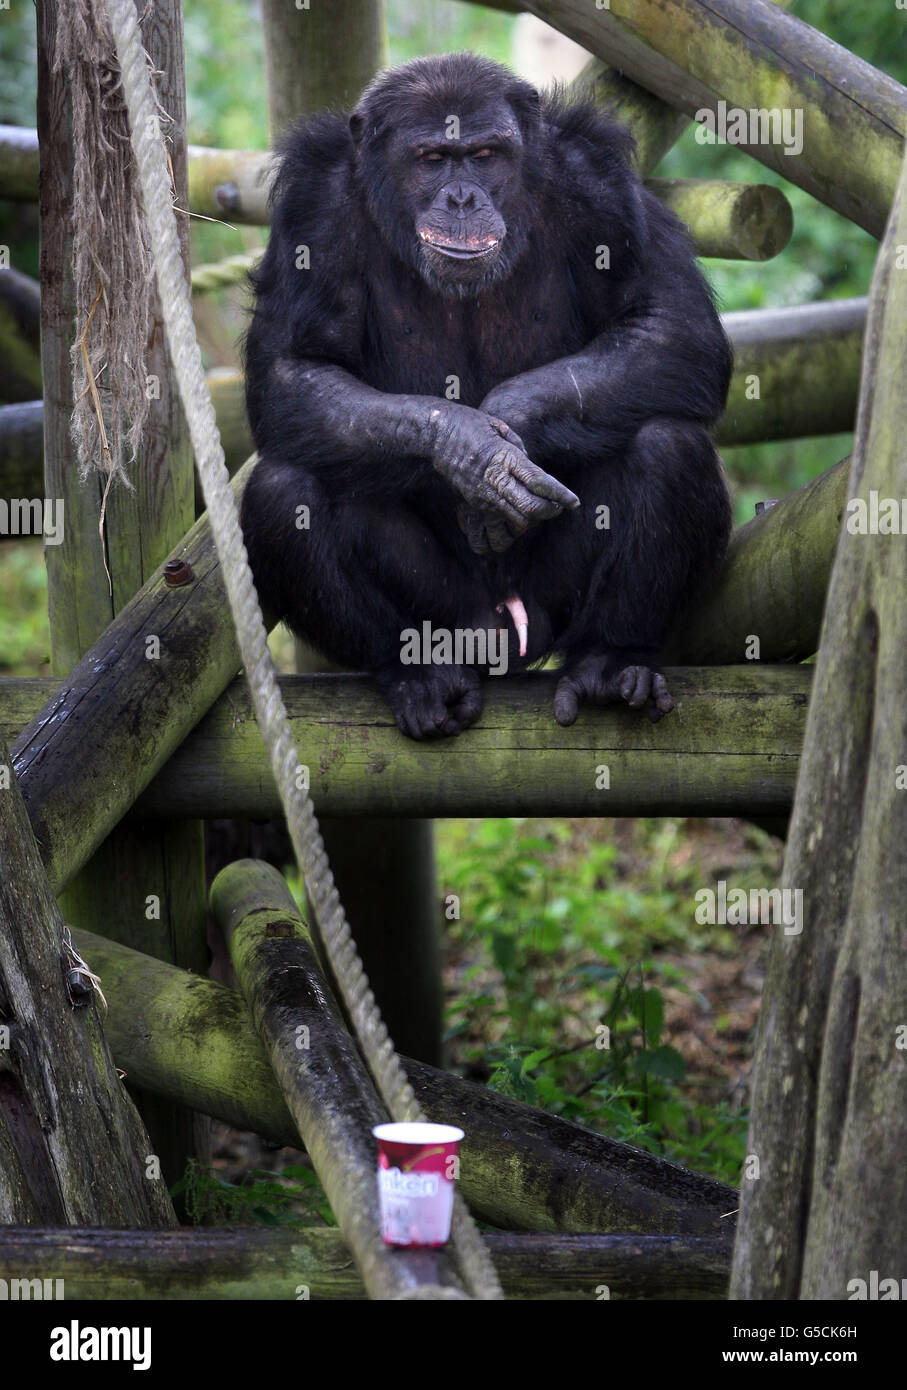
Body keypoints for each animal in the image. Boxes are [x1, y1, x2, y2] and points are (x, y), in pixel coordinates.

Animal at [238, 51, 727, 739]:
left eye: (487, 153)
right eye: (431, 158)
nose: (463, 196)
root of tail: (506, 629)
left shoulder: (598, 182)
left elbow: (669, 326)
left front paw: (504, 428)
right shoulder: (314, 206)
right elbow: (292, 371)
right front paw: (473, 449)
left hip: (552, 600)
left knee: (670, 446)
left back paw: (610, 664)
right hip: (453, 613)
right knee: (284, 492)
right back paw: (419, 676)